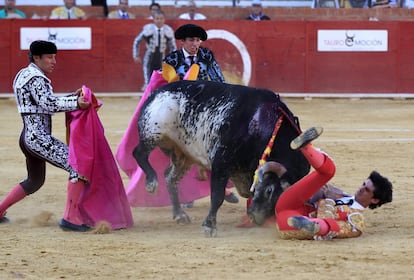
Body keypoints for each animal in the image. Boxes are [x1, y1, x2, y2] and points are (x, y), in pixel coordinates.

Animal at [134, 80, 308, 237]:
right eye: (269, 190)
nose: (256, 218)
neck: (260, 122)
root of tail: (156, 92)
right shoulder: (221, 163)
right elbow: (217, 196)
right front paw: (209, 226)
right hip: (153, 132)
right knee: (139, 153)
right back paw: (151, 183)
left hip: (183, 155)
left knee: (170, 177)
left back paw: (179, 214)